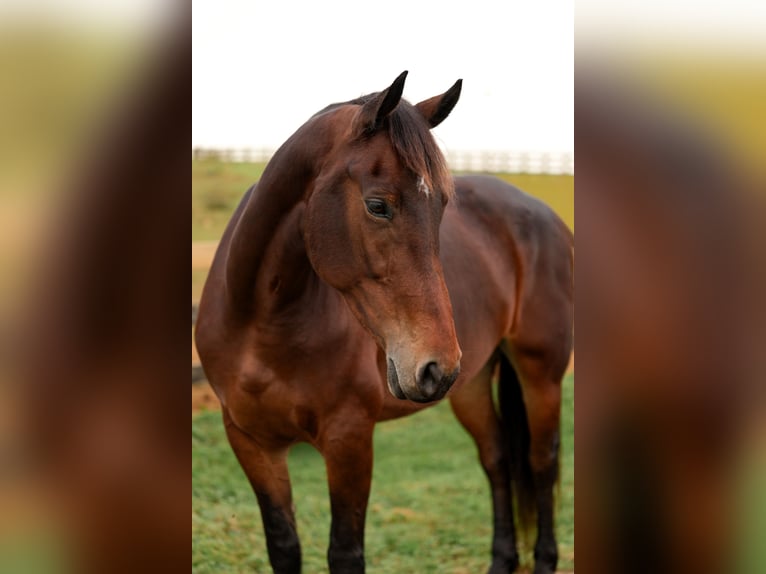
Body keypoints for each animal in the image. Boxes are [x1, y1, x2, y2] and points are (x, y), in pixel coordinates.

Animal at [195, 71, 573, 574]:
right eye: (378, 206)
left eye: (443, 207)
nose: (435, 365)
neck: (262, 326)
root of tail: (548, 216)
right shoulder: (251, 441)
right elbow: (283, 545)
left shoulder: (349, 438)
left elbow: (345, 552)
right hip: (471, 383)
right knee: (497, 459)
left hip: (540, 375)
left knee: (540, 462)